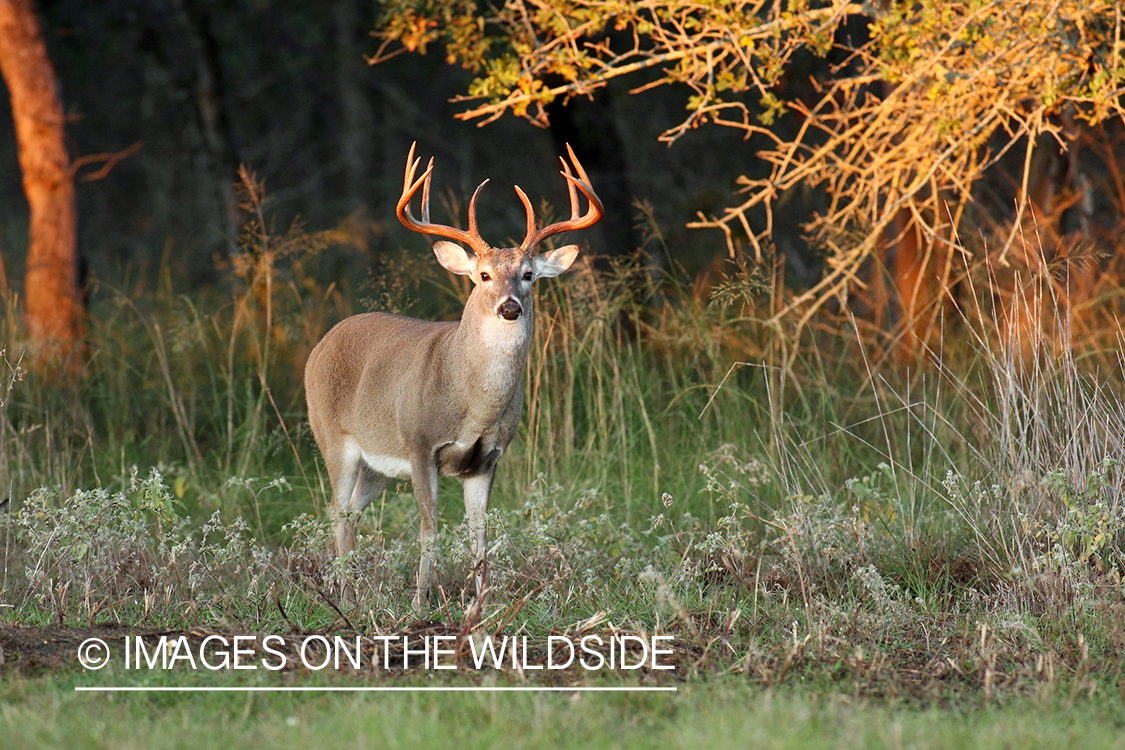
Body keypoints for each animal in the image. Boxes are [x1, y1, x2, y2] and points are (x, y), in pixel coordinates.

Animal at [303, 143, 603, 611]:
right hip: (333, 438)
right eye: (483, 275)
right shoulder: (420, 443)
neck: (471, 402)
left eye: (528, 275)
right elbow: (429, 530)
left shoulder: (488, 458)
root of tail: (321, 344)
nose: (510, 307)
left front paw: (480, 606)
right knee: (336, 511)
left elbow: (480, 535)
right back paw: (346, 596)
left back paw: (350, 591)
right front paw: (419, 604)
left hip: (377, 465)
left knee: (350, 511)